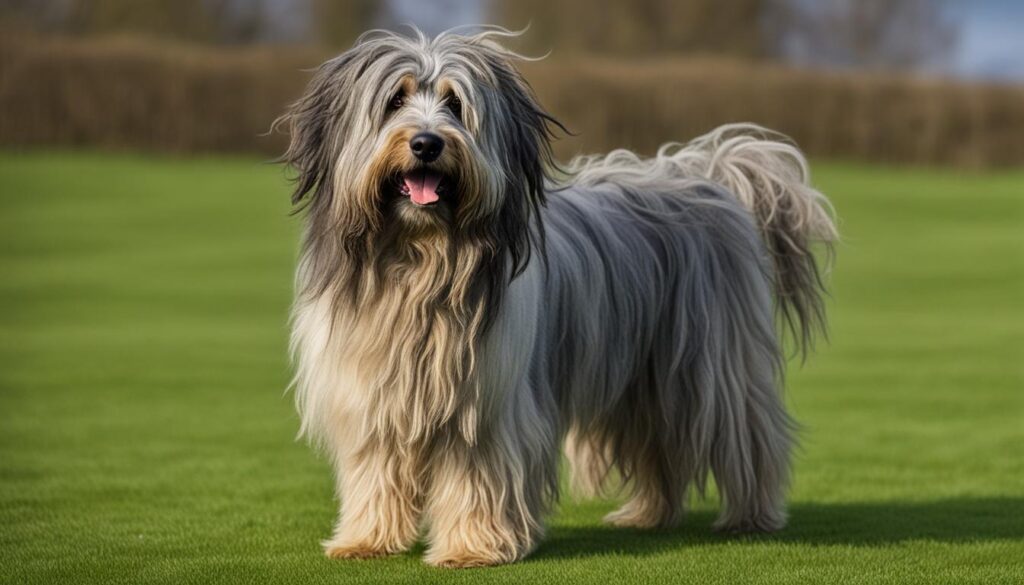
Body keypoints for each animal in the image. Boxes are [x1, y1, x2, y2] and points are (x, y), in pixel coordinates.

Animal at [276, 26, 835, 569]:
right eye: (395, 100)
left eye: (456, 104)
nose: (427, 143)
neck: (421, 257)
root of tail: (707, 175)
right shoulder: (372, 396)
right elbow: (376, 471)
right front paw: (366, 539)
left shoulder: (487, 405)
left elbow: (476, 476)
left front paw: (471, 549)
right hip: (640, 375)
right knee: (657, 447)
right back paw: (647, 515)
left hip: (707, 366)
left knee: (748, 435)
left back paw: (752, 516)